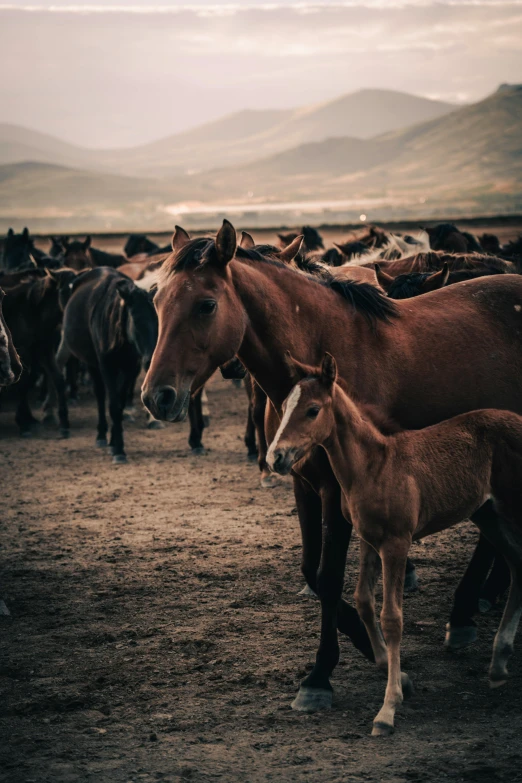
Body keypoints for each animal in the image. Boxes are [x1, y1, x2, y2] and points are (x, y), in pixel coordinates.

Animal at [268, 354, 522, 736]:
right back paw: (498, 662)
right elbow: (362, 600)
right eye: (283, 407)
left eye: (312, 410)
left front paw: (387, 710)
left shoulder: (397, 544)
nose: (275, 458)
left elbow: (392, 618)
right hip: (489, 516)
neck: (373, 466)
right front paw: (398, 675)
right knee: (518, 565)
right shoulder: (369, 540)